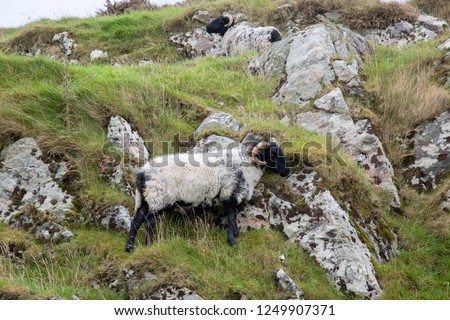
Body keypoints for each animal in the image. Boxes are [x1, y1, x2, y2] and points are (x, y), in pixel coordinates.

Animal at [125, 139, 290, 254]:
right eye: (273, 154)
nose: (287, 172)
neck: (245, 165)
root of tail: (142, 174)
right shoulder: (228, 192)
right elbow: (231, 216)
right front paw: (232, 241)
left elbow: (234, 217)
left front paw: (236, 234)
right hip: (160, 198)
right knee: (149, 222)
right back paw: (149, 245)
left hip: (145, 200)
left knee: (136, 221)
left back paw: (130, 248)